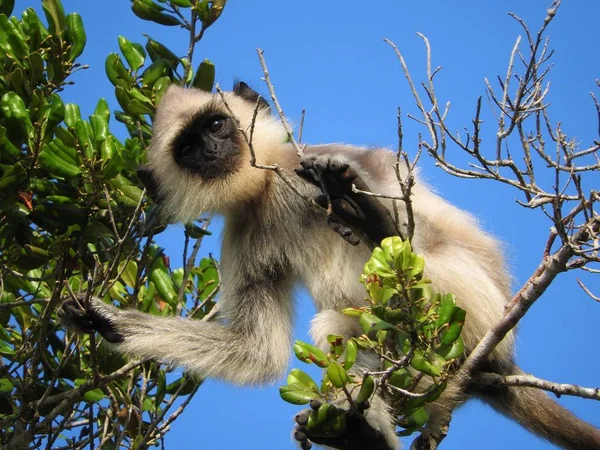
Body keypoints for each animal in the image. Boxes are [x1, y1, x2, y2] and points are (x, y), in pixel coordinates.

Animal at [59, 81, 600, 450]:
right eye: (188, 148)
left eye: (215, 124)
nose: (213, 148)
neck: (267, 187)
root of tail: (502, 359)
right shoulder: (244, 230)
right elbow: (256, 351)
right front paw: (103, 320)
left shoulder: (318, 159)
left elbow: (436, 232)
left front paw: (368, 214)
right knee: (337, 330)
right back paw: (362, 434)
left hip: (471, 306)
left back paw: (370, 219)